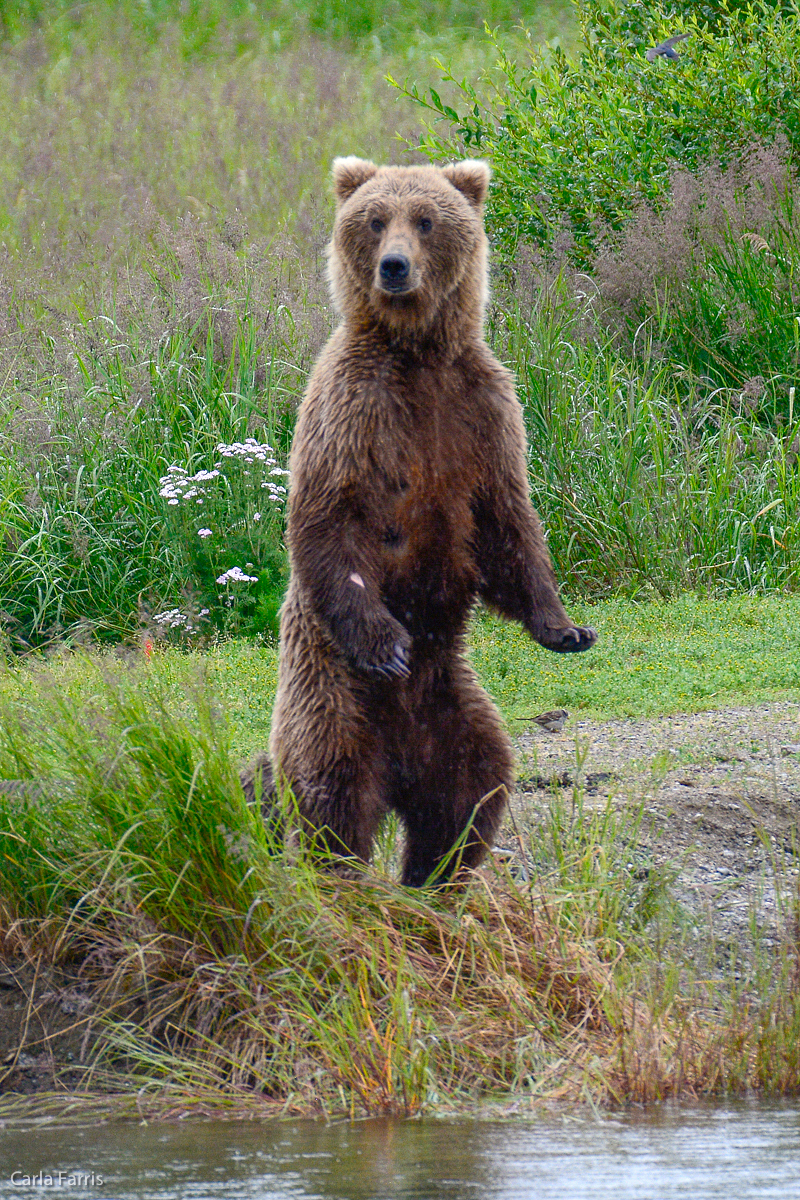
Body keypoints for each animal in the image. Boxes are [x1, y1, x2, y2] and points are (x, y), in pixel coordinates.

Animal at [247, 154, 597, 888]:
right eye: (376, 219)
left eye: (428, 219)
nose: (394, 266)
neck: (419, 354)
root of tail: (400, 762)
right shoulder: (353, 408)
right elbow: (329, 519)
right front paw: (387, 642)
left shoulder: (483, 411)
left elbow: (507, 526)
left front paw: (566, 628)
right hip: (332, 697)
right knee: (333, 796)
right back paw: (347, 880)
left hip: (455, 707)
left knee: (471, 792)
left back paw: (436, 879)